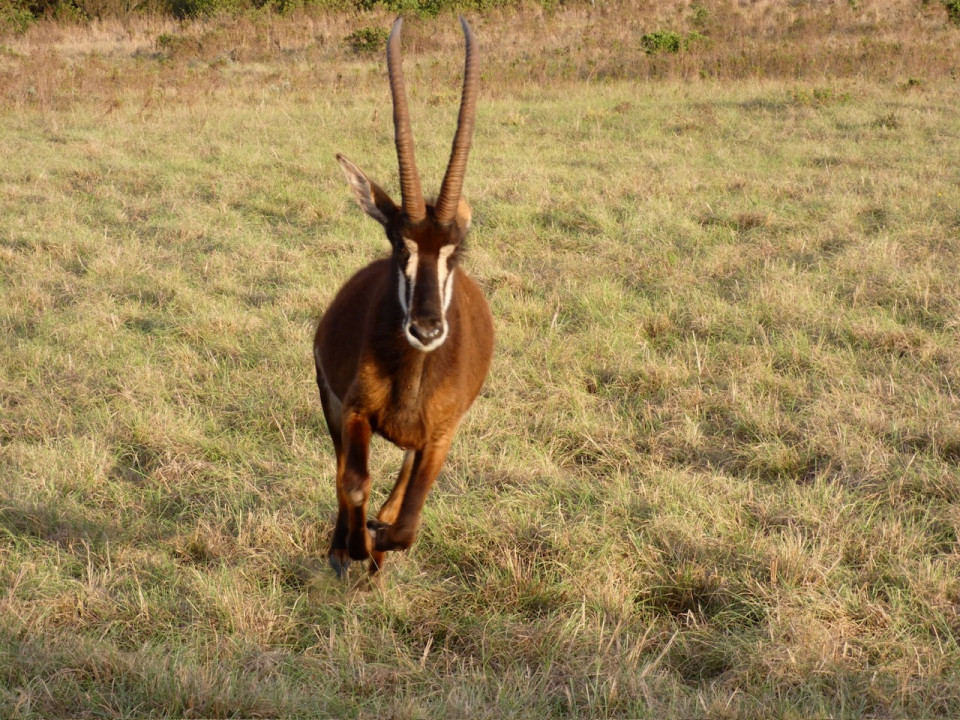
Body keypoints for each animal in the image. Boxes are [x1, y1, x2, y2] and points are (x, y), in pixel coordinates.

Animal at [314, 17, 494, 577]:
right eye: (400, 244)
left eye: (456, 249)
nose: (427, 329)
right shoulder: (351, 411)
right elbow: (352, 482)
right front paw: (353, 547)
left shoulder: (441, 436)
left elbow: (409, 522)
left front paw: (376, 543)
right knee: (343, 475)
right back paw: (345, 545)